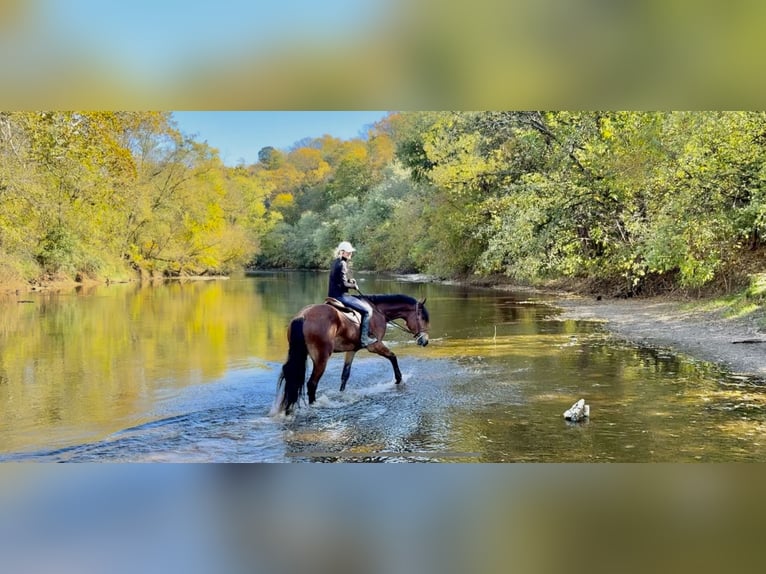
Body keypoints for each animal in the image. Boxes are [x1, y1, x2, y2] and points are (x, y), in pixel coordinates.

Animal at [272, 294, 430, 415]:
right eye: (422, 318)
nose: (425, 341)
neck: (378, 312)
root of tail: (302, 316)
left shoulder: (352, 350)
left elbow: (345, 375)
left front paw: (342, 394)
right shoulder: (375, 345)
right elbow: (393, 357)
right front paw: (398, 380)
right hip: (322, 358)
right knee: (312, 384)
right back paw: (314, 406)